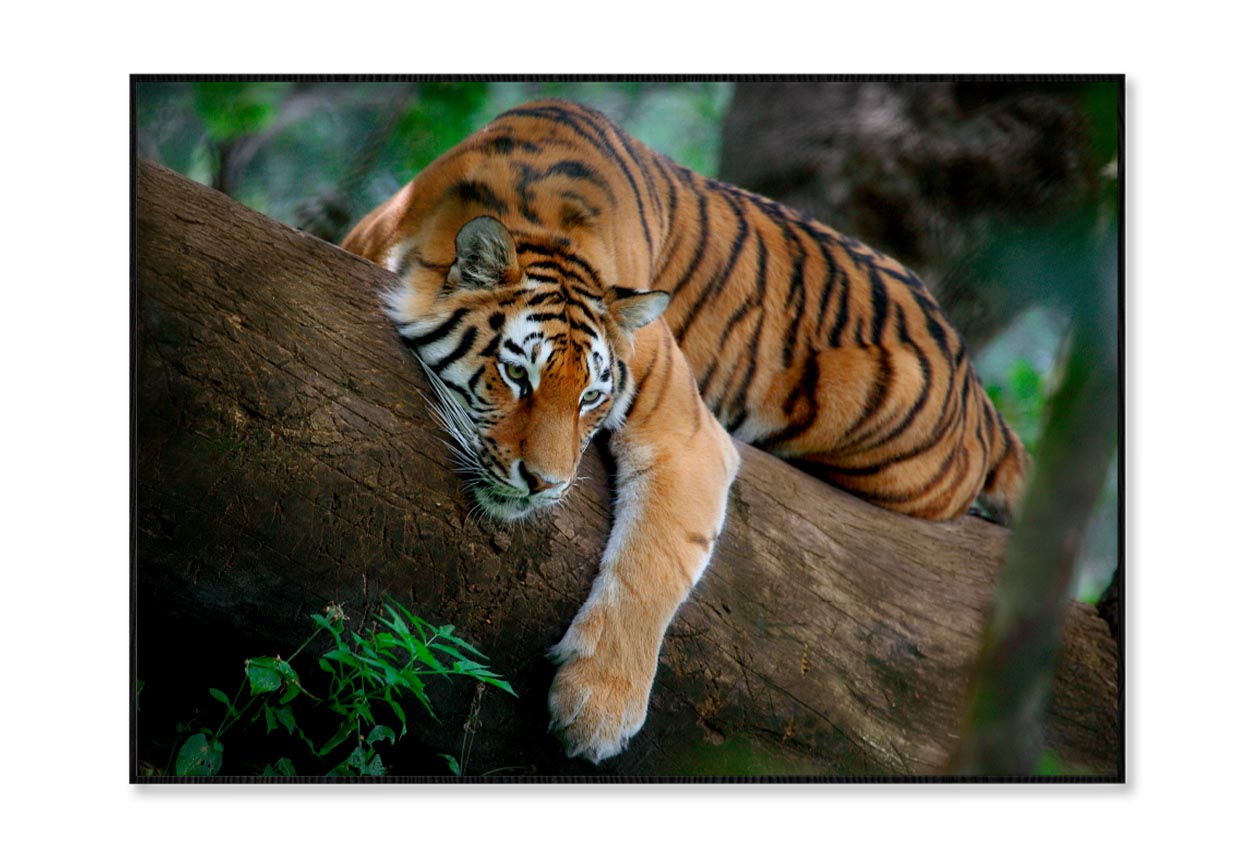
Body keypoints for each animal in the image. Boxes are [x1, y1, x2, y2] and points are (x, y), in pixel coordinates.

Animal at [342, 98, 1029, 763]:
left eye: (590, 397)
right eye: (517, 375)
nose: (545, 484)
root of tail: (977, 386)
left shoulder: (687, 433)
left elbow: (655, 561)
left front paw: (597, 712)